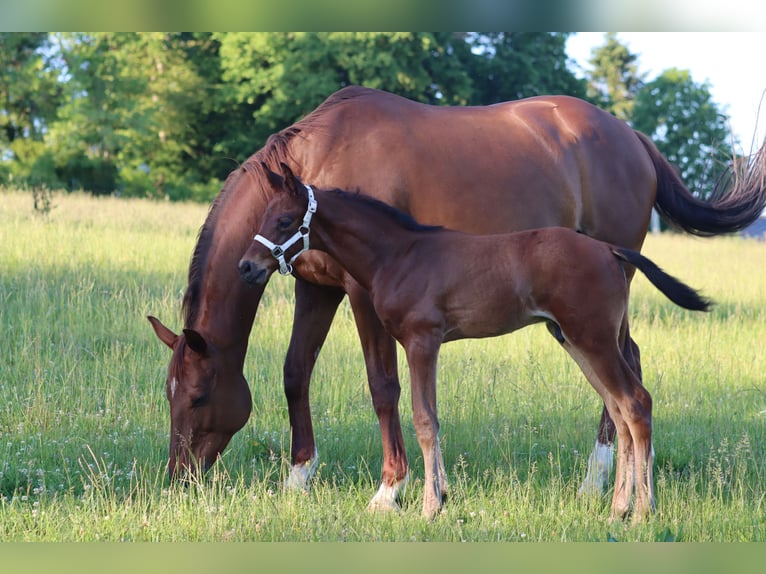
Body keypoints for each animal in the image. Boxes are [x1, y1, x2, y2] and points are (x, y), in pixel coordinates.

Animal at [237, 163, 711, 521]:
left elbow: (425, 420)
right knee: (620, 409)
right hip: (578, 340)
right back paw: (617, 510)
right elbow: (430, 418)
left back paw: (643, 512)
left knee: (635, 403)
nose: (246, 267)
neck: (400, 254)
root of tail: (609, 250)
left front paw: (430, 507)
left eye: (283, 220)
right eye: (261, 217)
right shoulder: (421, 344)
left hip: (592, 339)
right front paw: (442, 498)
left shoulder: (422, 341)